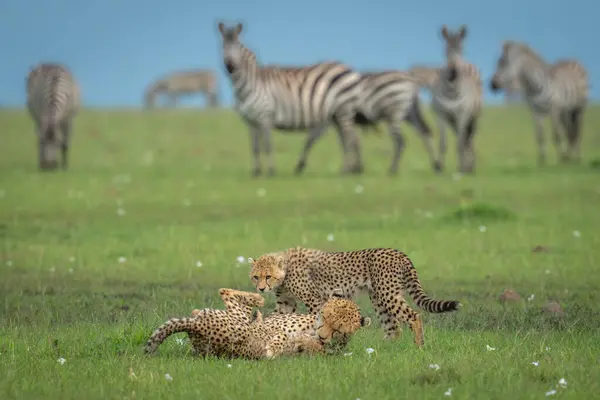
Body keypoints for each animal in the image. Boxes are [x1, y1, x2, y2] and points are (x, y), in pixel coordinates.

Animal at [218, 21, 364, 177]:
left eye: (237, 45)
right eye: (223, 46)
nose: (230, 67)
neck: (250, 84)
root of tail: (349, 68)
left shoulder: (265, 117)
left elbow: (268, 145)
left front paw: (271, 171)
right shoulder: (251, 121)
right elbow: (255, 147)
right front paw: (256, 172)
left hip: (344, 109)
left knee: (352, 138)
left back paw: (354, 169)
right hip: (336, 114)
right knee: (345, 139)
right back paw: (349, 169)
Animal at [247, 245, 460, 346]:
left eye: (268, 276)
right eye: (256, 276)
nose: (261, 289)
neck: (286, 270)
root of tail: (398, 253)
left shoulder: (315, 300)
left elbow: (316, 320)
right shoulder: (286, 302)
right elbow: (276, 318)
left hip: (388, 294)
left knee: (414, 316)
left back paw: (418, 345)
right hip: (379, 298)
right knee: (393, 327)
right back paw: (382, 348)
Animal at [432, 25, 482, 173]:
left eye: (461, 48)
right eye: (446, 48)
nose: (453, 71)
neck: (451, 91)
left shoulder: (462, 114)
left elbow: (460, 143)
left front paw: (461, 168)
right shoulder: (441, 114)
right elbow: (443, 143)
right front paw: (439, 168)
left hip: (473, 117)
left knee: (469, 137)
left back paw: (470, 167)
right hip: (452, 120)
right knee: (465, 138)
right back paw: (468, 165)